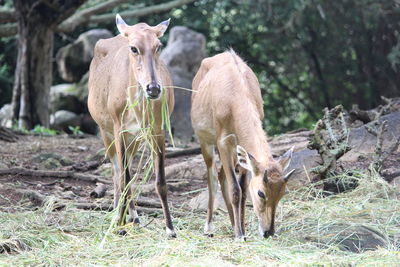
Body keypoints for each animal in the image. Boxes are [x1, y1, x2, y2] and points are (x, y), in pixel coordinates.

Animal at [88, 14, 176, 239]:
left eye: (159, 45)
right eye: (134, 48)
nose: (153, 88)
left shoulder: (157, 129)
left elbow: (160, 181)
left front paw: (170, 229)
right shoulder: (118, 128)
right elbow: (124, 176)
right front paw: (119, 225)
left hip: (134, 139)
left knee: (126, 171)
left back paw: (133, 216)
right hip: (106, 130)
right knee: (117, 171)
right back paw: (118, 214)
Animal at [191, 49, 294, 241]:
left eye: (283, 192)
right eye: (261, 192)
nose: (268, 232)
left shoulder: (241, 146)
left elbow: (244, 190)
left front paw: (242, 231)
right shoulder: (222, 140)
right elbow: (235, 190)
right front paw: (239, 235)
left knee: (222, 175)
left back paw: (233, 224)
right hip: (205, 140)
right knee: (212, 176)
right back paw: (209, 227)